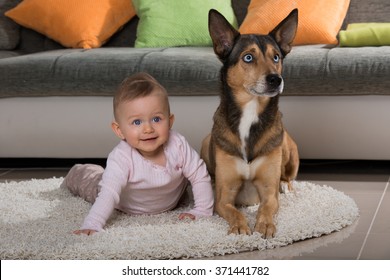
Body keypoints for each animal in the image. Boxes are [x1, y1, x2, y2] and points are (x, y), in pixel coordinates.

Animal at [201, 9, 298, 238]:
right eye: (248, 57)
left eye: (276, 57)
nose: (276, 79)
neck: (251, 112)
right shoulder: (224, 197)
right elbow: (234, 211)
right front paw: (239, 226)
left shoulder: (269, 192)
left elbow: (266, 206)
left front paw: (265, 224)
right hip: (206, 141)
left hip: (288, 147)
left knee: (288, 176)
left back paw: (286, 186)